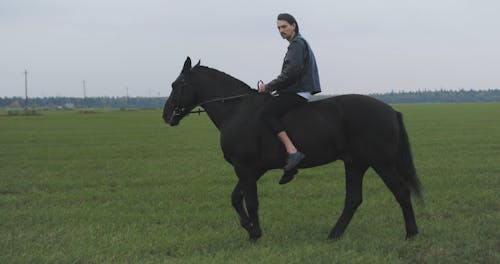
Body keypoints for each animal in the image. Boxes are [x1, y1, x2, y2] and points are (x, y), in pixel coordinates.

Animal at [163, 57, 422, 241]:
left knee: (400, 192)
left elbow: (250, 201)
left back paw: (411, 233)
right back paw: (334, 235)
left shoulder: (245, 167)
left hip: (381, 163)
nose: (166, 115)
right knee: (353, 200)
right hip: (355, 163)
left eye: (177, 84)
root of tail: (390, 111)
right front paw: (249, 228)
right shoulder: (252, 170)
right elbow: (236, 198)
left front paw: (255, 233)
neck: (237, 110)